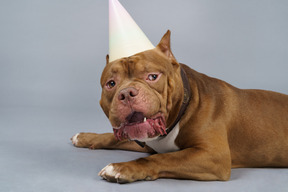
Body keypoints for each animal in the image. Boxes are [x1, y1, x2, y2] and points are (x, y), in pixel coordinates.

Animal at [71, 30, 286, 183]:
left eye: (152, 76)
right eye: (111, 84)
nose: (126, 93)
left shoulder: (213, 155)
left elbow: (164, 159)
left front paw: (122, 168)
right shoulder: (148, 142)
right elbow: (114, 138)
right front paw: (86, 137)